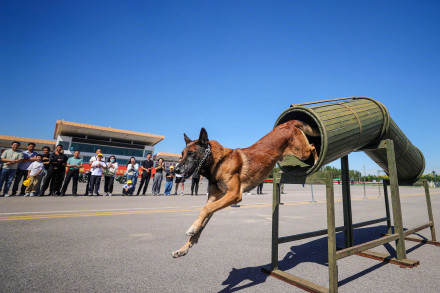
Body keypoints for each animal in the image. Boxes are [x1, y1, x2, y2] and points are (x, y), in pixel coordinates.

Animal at [172, 118, 320, 256]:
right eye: (182, 154)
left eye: (191, 153)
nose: (176, 170)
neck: (219, 162)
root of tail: (287, 124)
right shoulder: (214, 198)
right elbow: (204, 215)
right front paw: (185, 246)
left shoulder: (233, 195)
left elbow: (206, 209)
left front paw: (192, 229)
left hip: (302, 152)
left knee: (313, 146)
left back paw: (317, 161)